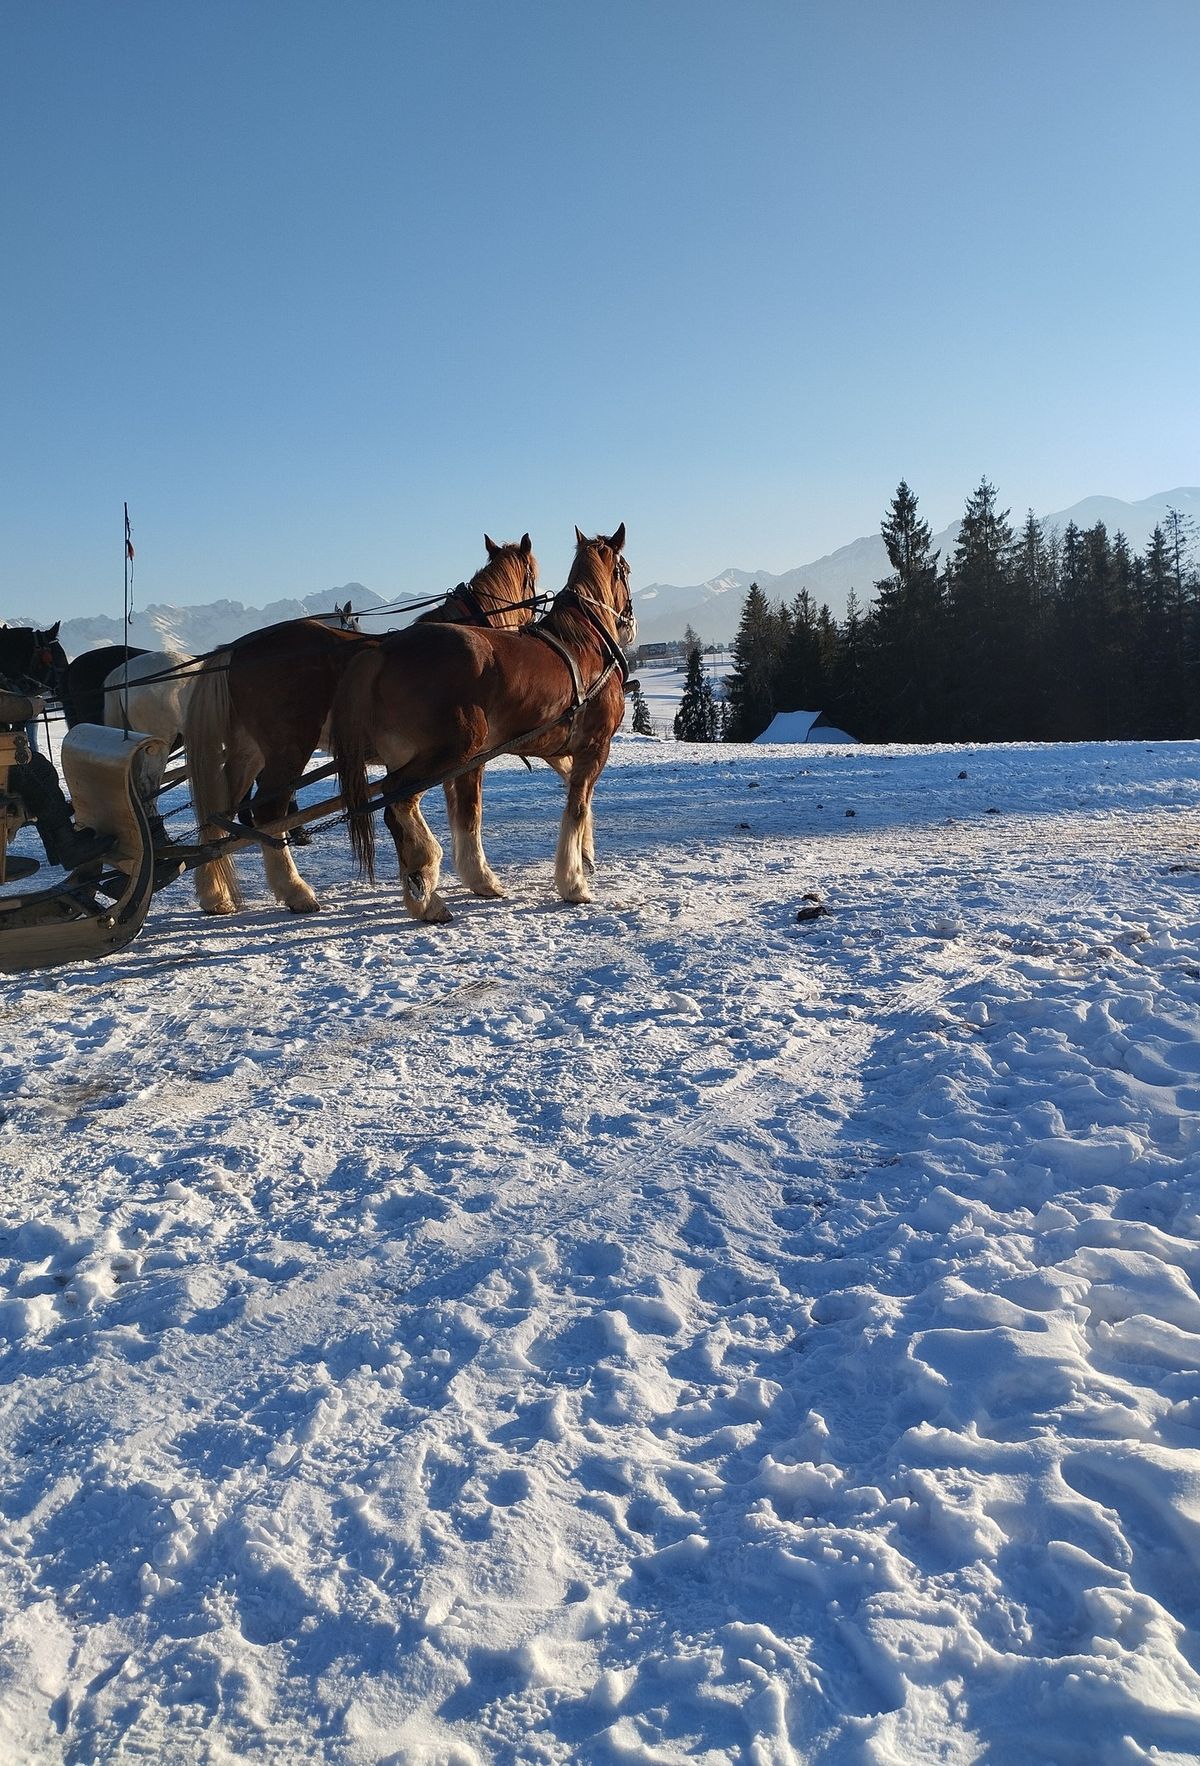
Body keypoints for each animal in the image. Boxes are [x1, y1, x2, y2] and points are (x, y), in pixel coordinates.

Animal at [186, 533, 540, 918]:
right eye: (532, 576)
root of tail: (237, 648)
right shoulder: (470, 755)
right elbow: (469, 813)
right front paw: (479, 879)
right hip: (289, 747)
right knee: (269, 810)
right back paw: (295, 890)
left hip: (249, 751)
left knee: (219, 810)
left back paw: (215, 894)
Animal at [328, 522, 628, 925]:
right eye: (625, 570)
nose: (630, 620)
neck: (586, 644)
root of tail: (383, 651)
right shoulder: (594, 747)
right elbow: (573, 807)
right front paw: (573, 882)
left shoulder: (554, 746)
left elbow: (475, 812)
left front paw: (584, 853)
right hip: (454, 750)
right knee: (398, 798)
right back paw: (425, 873)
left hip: (415, 755)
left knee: (395, 809)